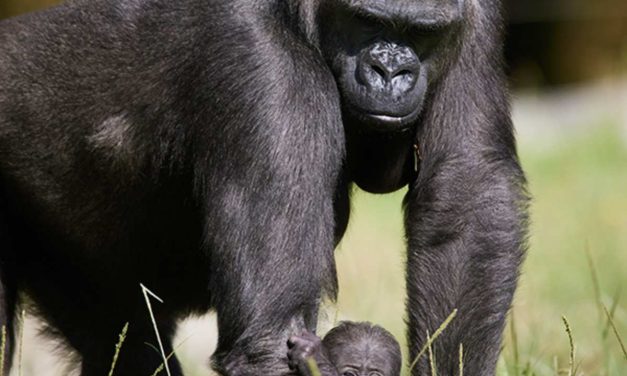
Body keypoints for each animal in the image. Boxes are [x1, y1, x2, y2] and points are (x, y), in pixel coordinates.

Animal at [0, 0, 528, 374]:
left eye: (420, 33)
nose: (390, 71)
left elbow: (464, 193)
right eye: (365, 21)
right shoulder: (260, 59)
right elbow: (271, 339)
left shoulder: (477, 18)